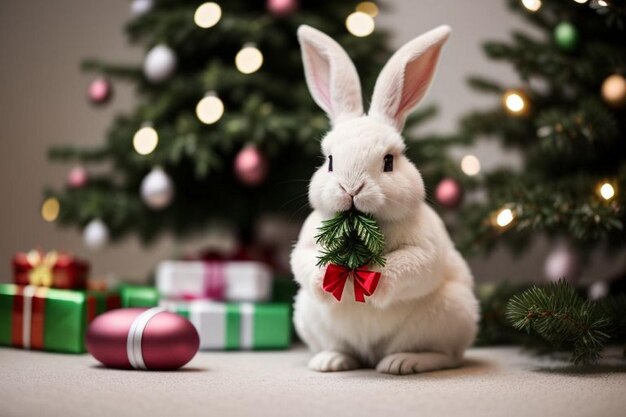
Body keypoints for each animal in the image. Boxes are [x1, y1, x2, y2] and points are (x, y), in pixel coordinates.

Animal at [288, 25, 478, 374]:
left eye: (389, 161)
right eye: (330, 161)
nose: (351, 188)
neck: (356, 228)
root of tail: (371, 353)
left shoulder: (425, 248)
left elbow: (412, 265)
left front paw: (371, 279)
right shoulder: (307, 240)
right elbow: (304, 261)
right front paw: (329, 275)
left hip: (451, 313)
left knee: (448, 357)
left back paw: (403, 363)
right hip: (307, 314)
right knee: (345, 350)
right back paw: (330, 361)